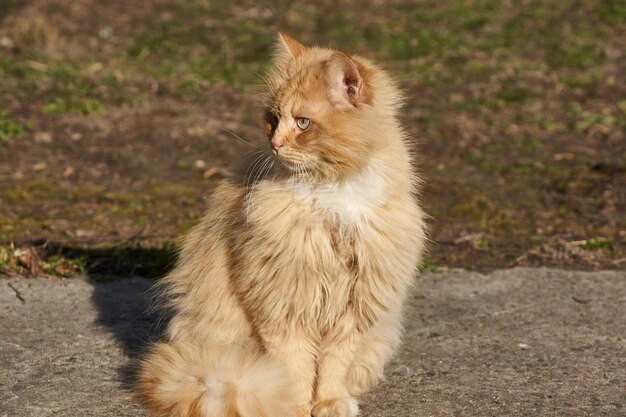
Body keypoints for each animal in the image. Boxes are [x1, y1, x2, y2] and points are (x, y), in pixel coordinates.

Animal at [139, 33, 426, 416]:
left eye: (303, 123)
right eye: (272, 119)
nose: (274, 145)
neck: (331, 193)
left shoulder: (354, 304)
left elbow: (334, 366)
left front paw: (330, 402)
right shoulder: (281, 300)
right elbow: (295, 367)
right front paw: (295, 404)